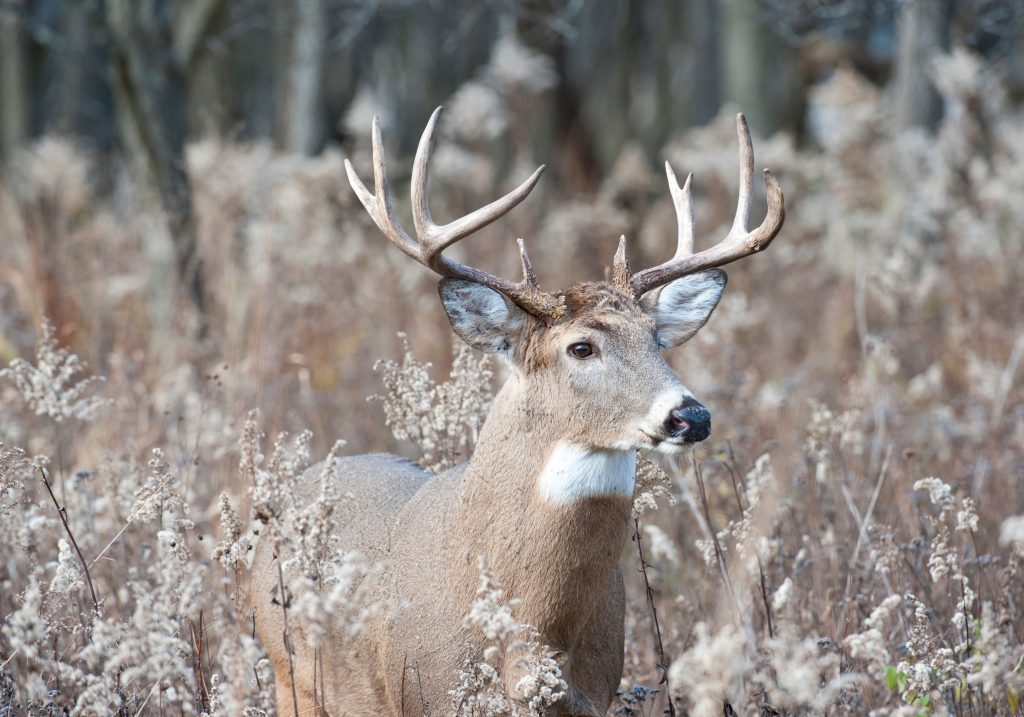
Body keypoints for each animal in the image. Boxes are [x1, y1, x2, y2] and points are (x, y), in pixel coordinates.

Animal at [247, 108, 782, 717]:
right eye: (581, 347)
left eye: (656, 339)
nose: (691, 416)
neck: (534, 631)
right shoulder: (423, 693)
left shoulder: (595, 693)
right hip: (290, 673)